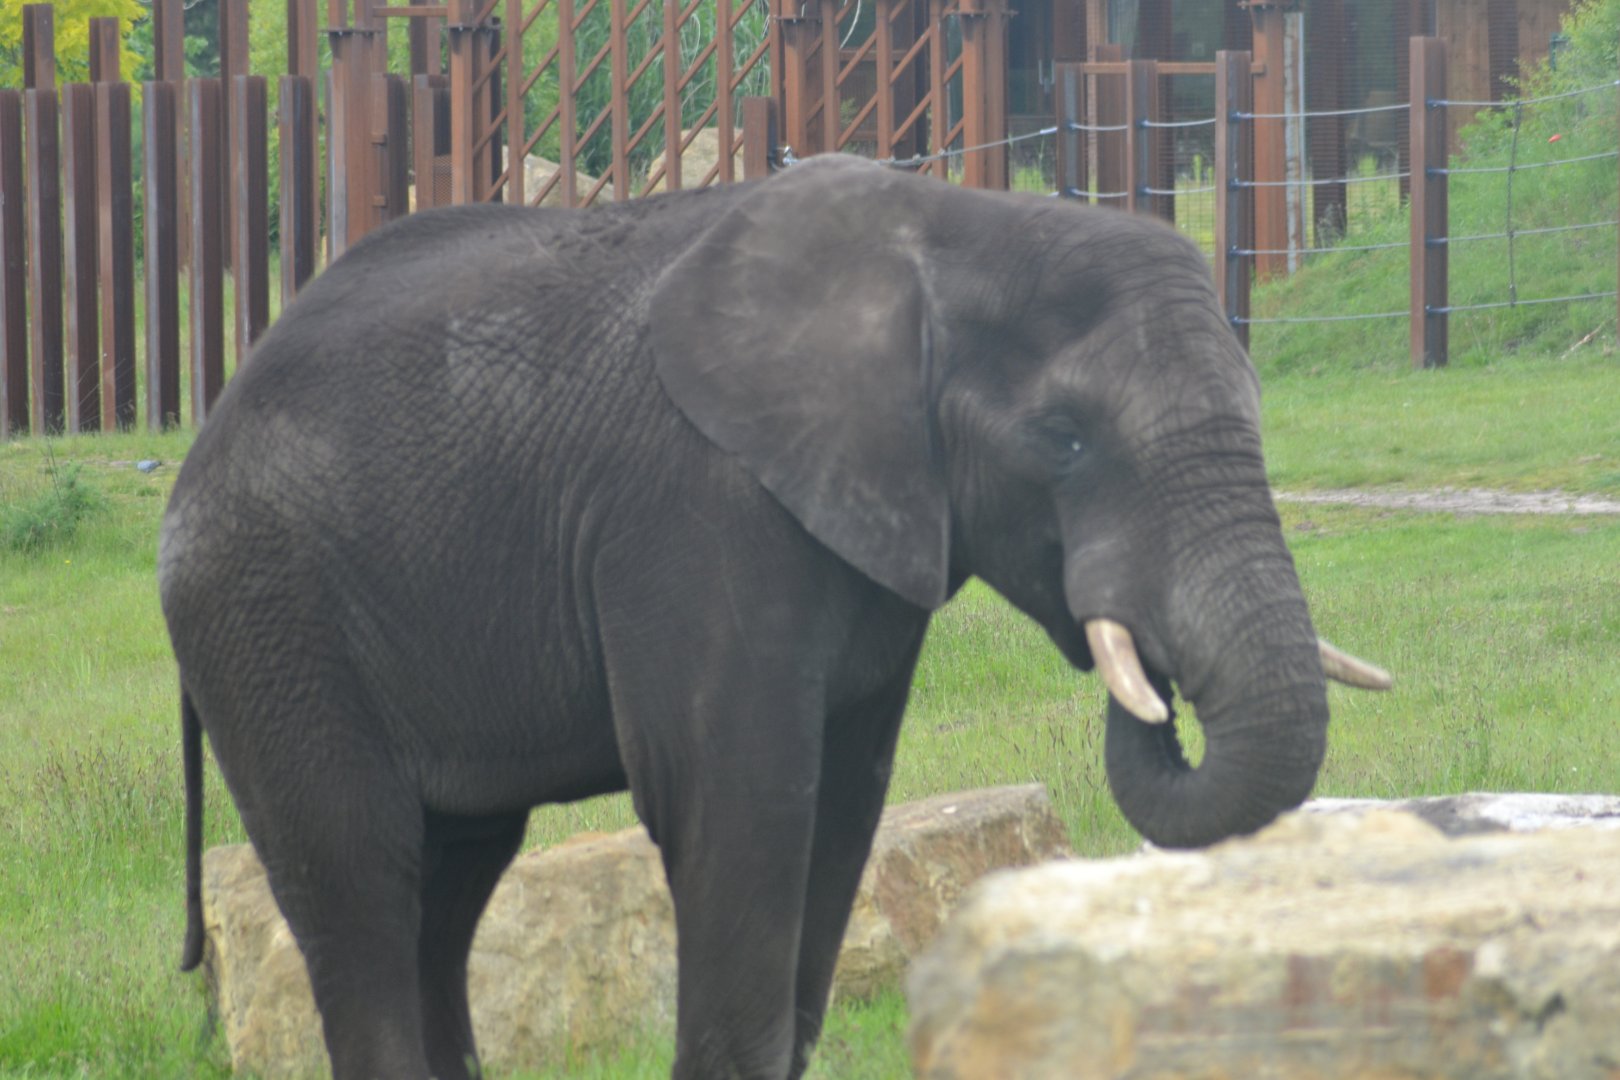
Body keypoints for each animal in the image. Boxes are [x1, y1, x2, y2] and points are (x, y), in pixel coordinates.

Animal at [159, 154, 1390, 1080]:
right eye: (1066, 439)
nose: (1153, 686)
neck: (955, 230)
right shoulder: (696, 511)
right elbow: (735, 793)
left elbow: (844, 795)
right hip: (266, 617)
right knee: (363, 871)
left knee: (454, 875)